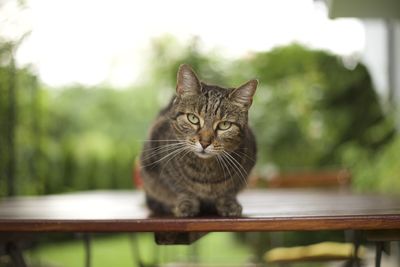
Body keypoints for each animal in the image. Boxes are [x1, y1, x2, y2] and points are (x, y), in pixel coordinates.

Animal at [141, 64, 258, 218]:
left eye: (224, 125)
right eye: (193, 118)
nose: (205, 142)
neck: (205, 171)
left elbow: (228, 192)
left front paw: (228, 203)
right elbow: (181, 190)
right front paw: (187, 204)